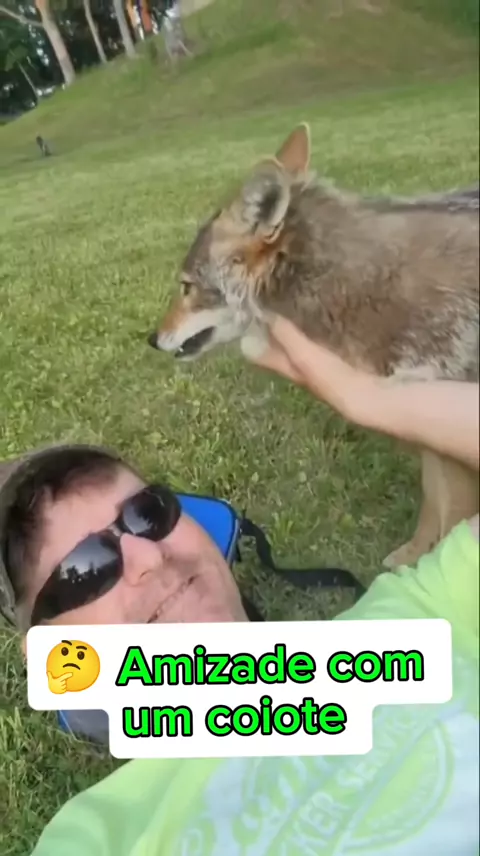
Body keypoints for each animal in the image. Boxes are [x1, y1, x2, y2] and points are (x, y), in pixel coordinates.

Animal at [148, 124, 479, 568]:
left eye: (185, 287)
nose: (152, 339)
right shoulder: (427, 426)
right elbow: (433, 505)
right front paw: (413, 554)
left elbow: (451, 521)